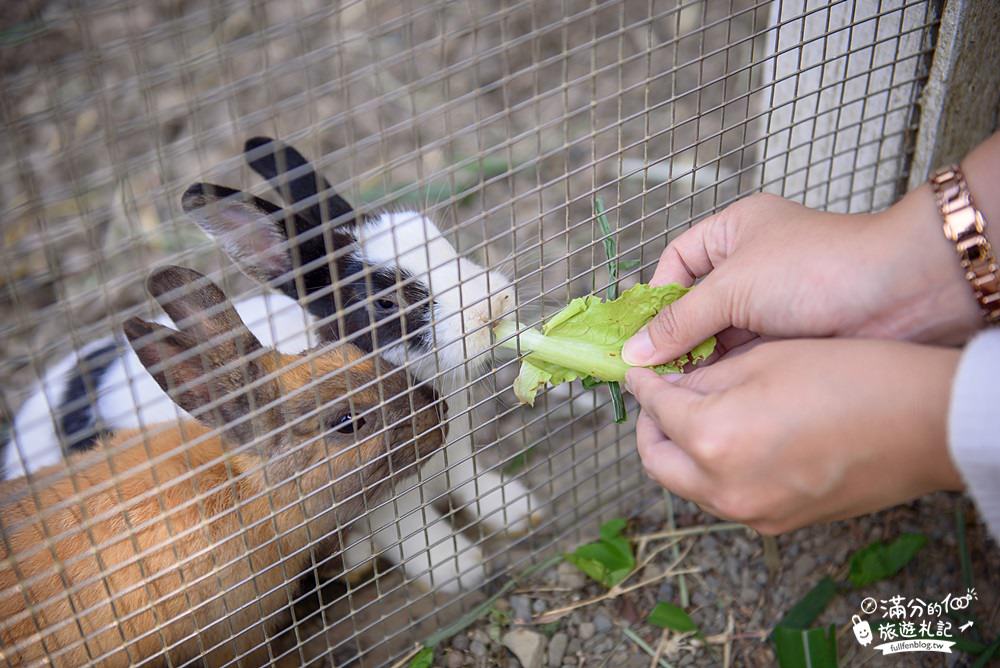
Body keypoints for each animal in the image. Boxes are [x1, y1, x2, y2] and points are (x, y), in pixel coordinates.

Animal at [3, 138, 540, 592]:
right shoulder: (375, 499)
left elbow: (471, 482)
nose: (495, 305)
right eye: (384, 302)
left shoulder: (457, 456)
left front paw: (516, 510)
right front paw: (461, 568)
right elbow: (414, 534)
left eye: (439, 238)